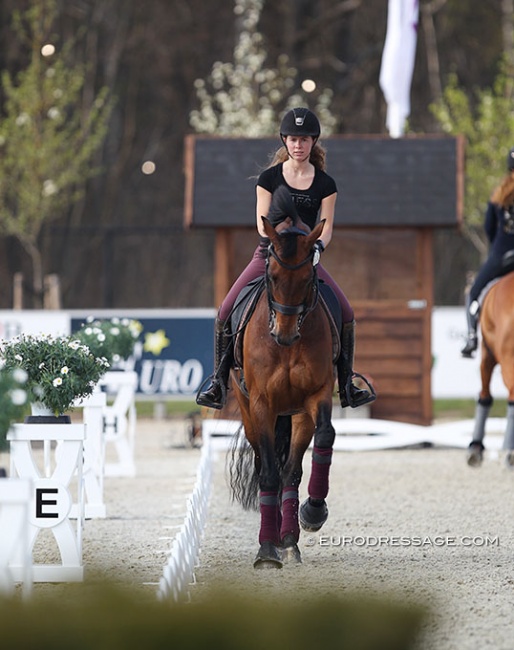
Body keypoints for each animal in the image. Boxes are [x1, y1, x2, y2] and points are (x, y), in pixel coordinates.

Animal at [228, 187, 336, 568]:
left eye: (307, 280)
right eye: (272, 275)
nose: (284, 335)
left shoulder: (316, 396)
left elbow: (323, 439)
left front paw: (312, 514)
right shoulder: (262, 404)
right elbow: (269, 473)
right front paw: (265, 549)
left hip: (296, 415)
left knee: (290, 470)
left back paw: (288, 538)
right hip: (250, 410)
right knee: (267, 467)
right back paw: (273, 538)